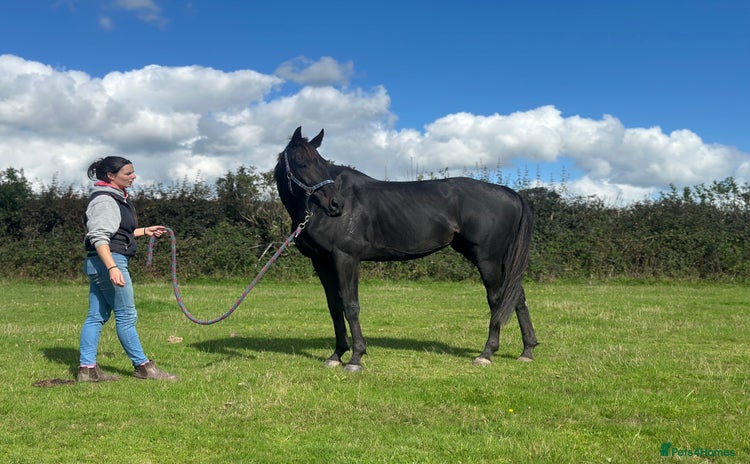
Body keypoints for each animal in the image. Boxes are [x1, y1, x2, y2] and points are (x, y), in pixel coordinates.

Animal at [274, 127, 538, 372]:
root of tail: (509, 192)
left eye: (323, 164)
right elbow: (335, 307)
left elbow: (351, 306)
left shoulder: (346, 259)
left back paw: (487, 353)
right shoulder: (322, 263)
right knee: (517, 297)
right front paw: (336, 355)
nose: (336, 204)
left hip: (488, 260)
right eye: (302, 163)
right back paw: (527, 351)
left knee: (497, 300)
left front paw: (356, 357)